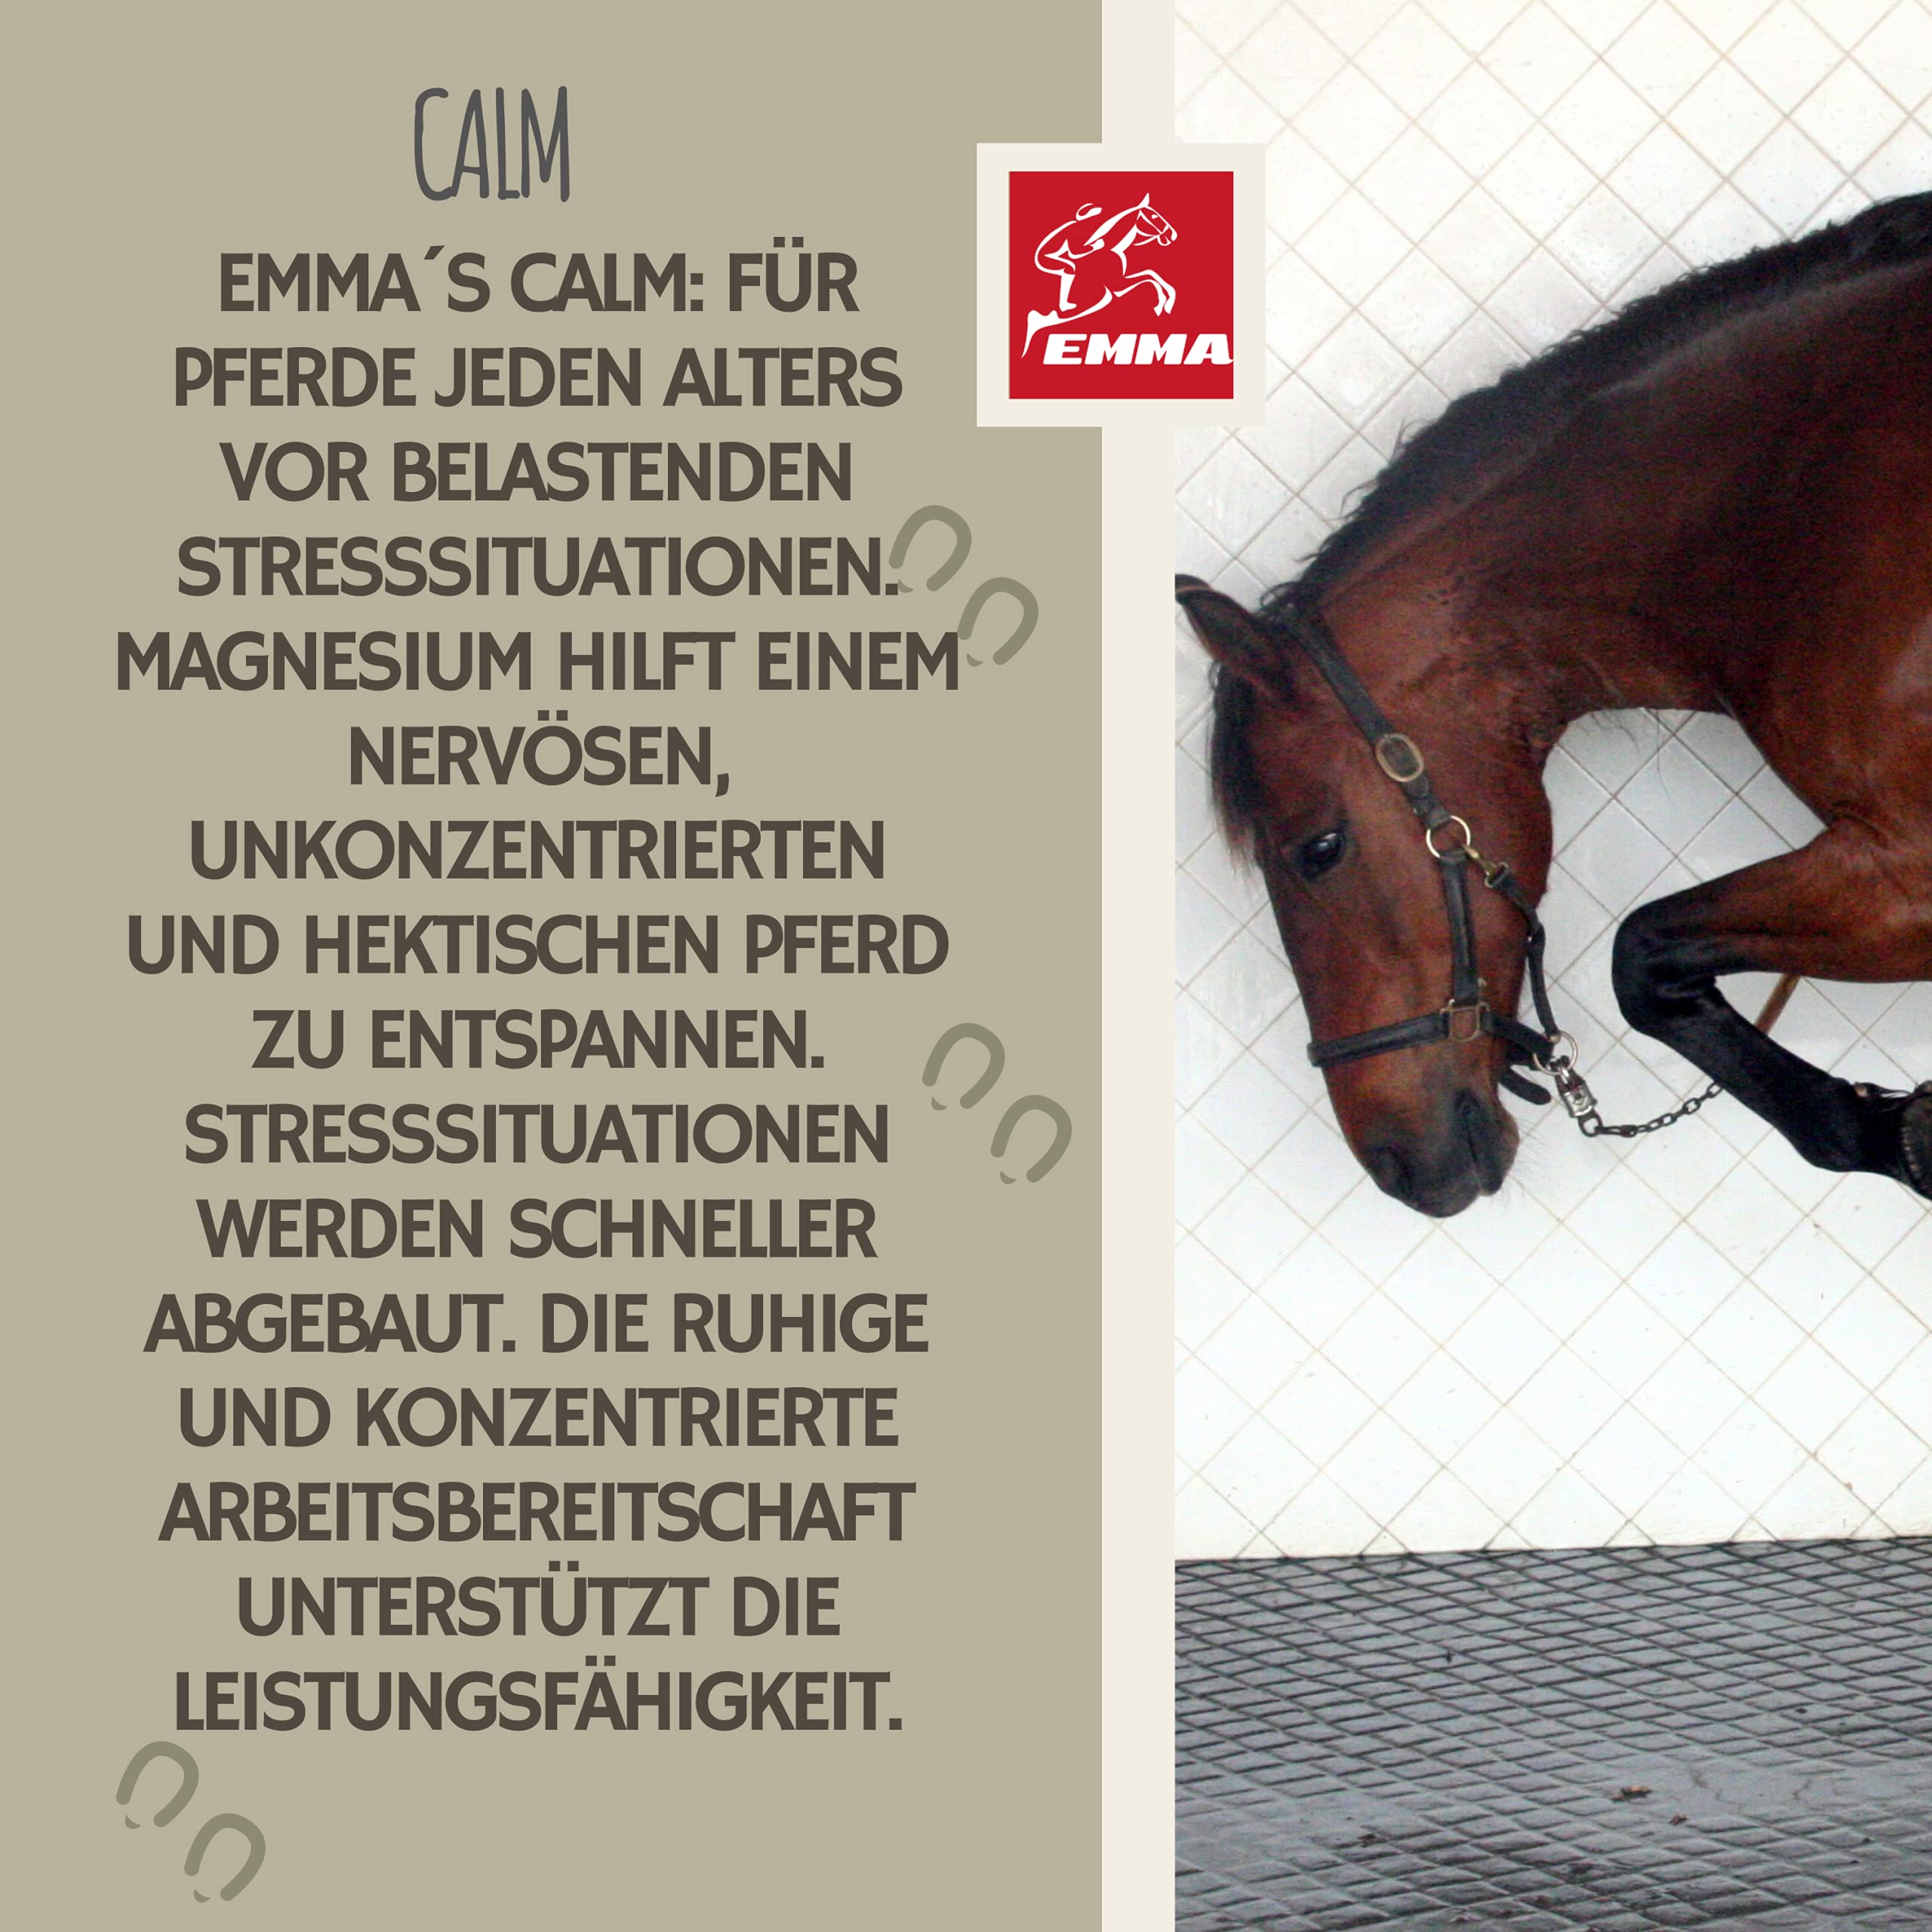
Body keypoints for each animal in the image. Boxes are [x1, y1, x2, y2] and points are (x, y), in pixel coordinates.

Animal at [1179, 191, 1932, 1221]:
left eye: (1318, 850)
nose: (1397, 1166)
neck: (1805, 498)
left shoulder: (1910, 863)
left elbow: (1638, 955)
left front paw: (1895, 1135)